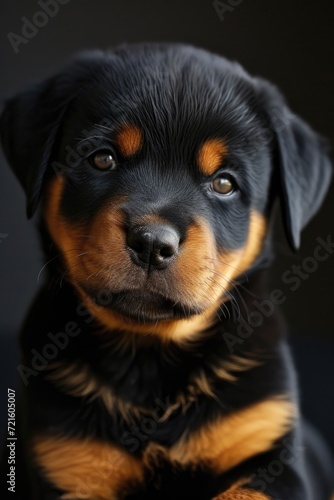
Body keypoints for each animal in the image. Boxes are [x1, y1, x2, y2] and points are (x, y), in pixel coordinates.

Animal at [0, 43, 334, 500]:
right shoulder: (69, 462)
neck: (149, 360)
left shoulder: (270, 457)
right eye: (102, 159)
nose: (152, 244)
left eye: (224, 183)